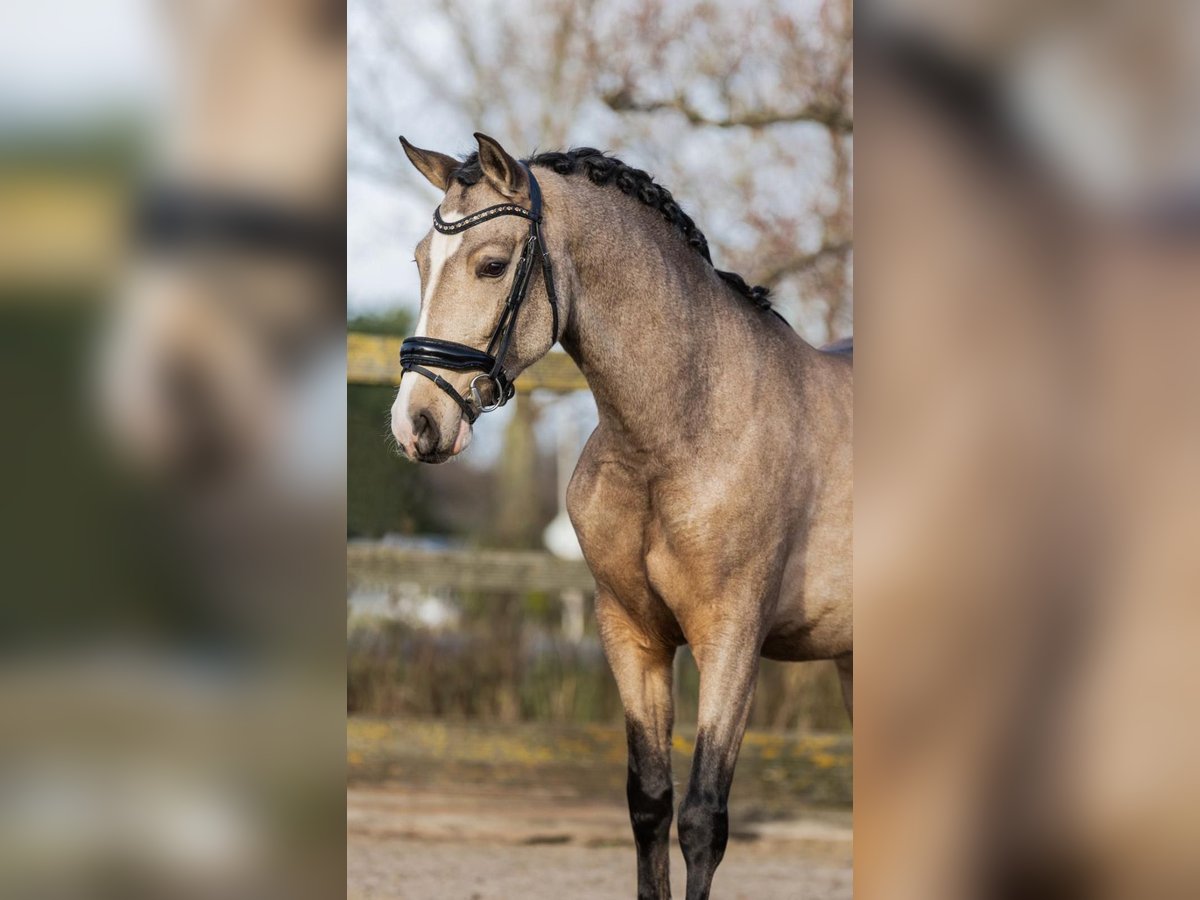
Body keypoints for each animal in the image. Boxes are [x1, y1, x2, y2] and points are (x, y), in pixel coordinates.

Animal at [388, 133, 849, 900]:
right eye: (421, 260)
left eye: (492, 264)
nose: (415, 423)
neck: (681, 431)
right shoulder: (633, 636)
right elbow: (649, 804)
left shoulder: (731, 639)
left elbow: (703, 819)